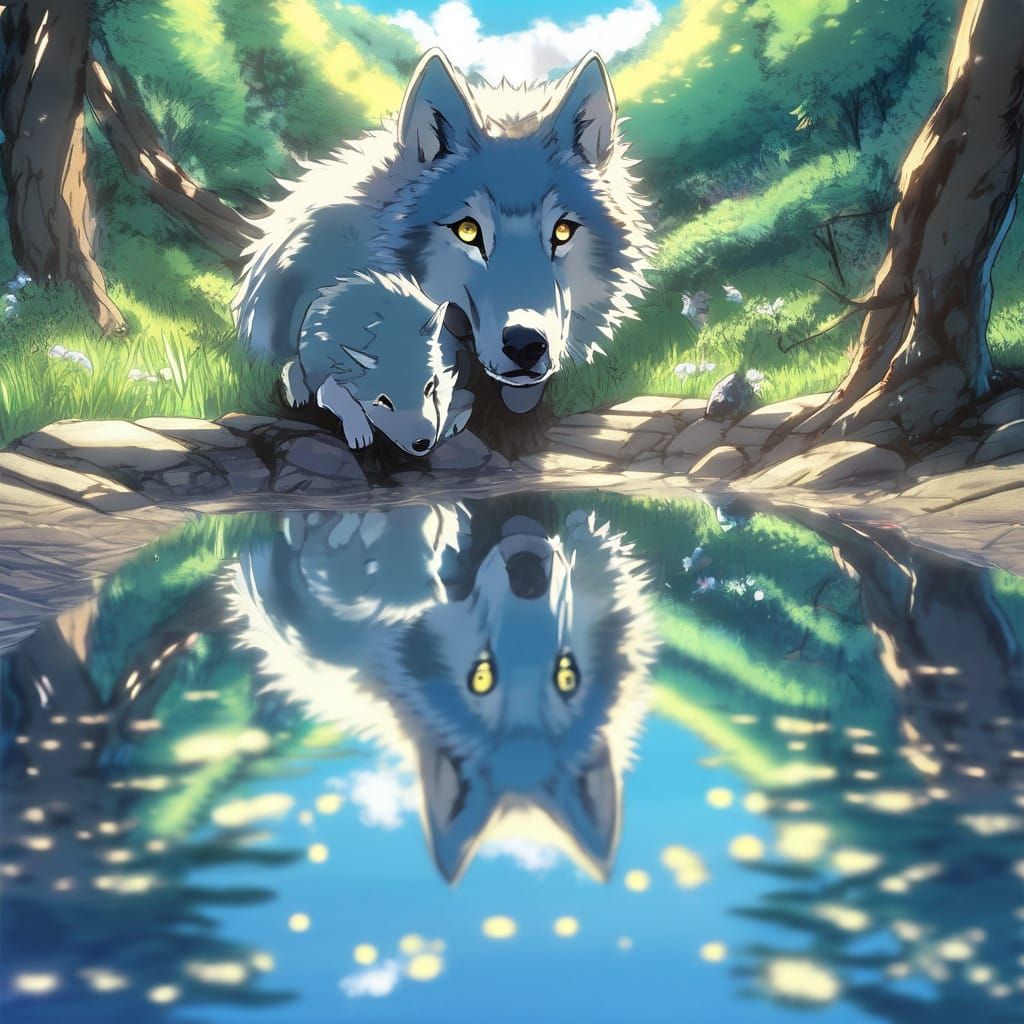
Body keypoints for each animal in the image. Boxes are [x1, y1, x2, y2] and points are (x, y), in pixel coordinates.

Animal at [283, 271, 472, 455]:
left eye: (429, 387)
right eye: (383, 401)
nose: (421, 444)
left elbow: (464, 400)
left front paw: (453, 424)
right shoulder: (334, 375)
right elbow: (337, 394)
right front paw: (360, 433)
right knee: (293, 365)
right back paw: (297, 395)